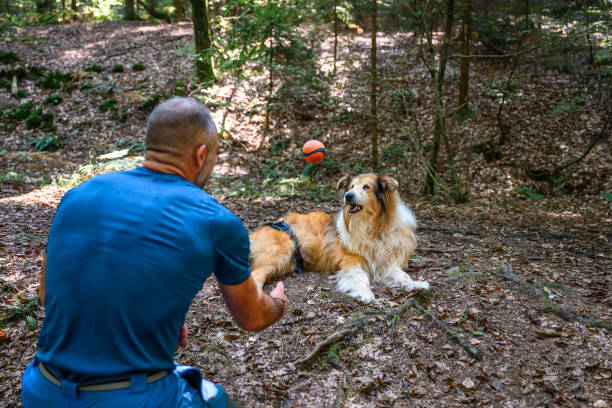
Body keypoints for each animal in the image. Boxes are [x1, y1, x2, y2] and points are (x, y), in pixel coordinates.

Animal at [246, 172, 428, 302]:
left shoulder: (385, 262)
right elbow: (361, 277)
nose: (348, 195)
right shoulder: (351, 260)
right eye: (351, 186)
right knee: (255, 277)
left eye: (366, 187)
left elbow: (402, 275)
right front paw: (364, 293)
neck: (374, 228)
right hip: (280, 253)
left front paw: (416, 284)